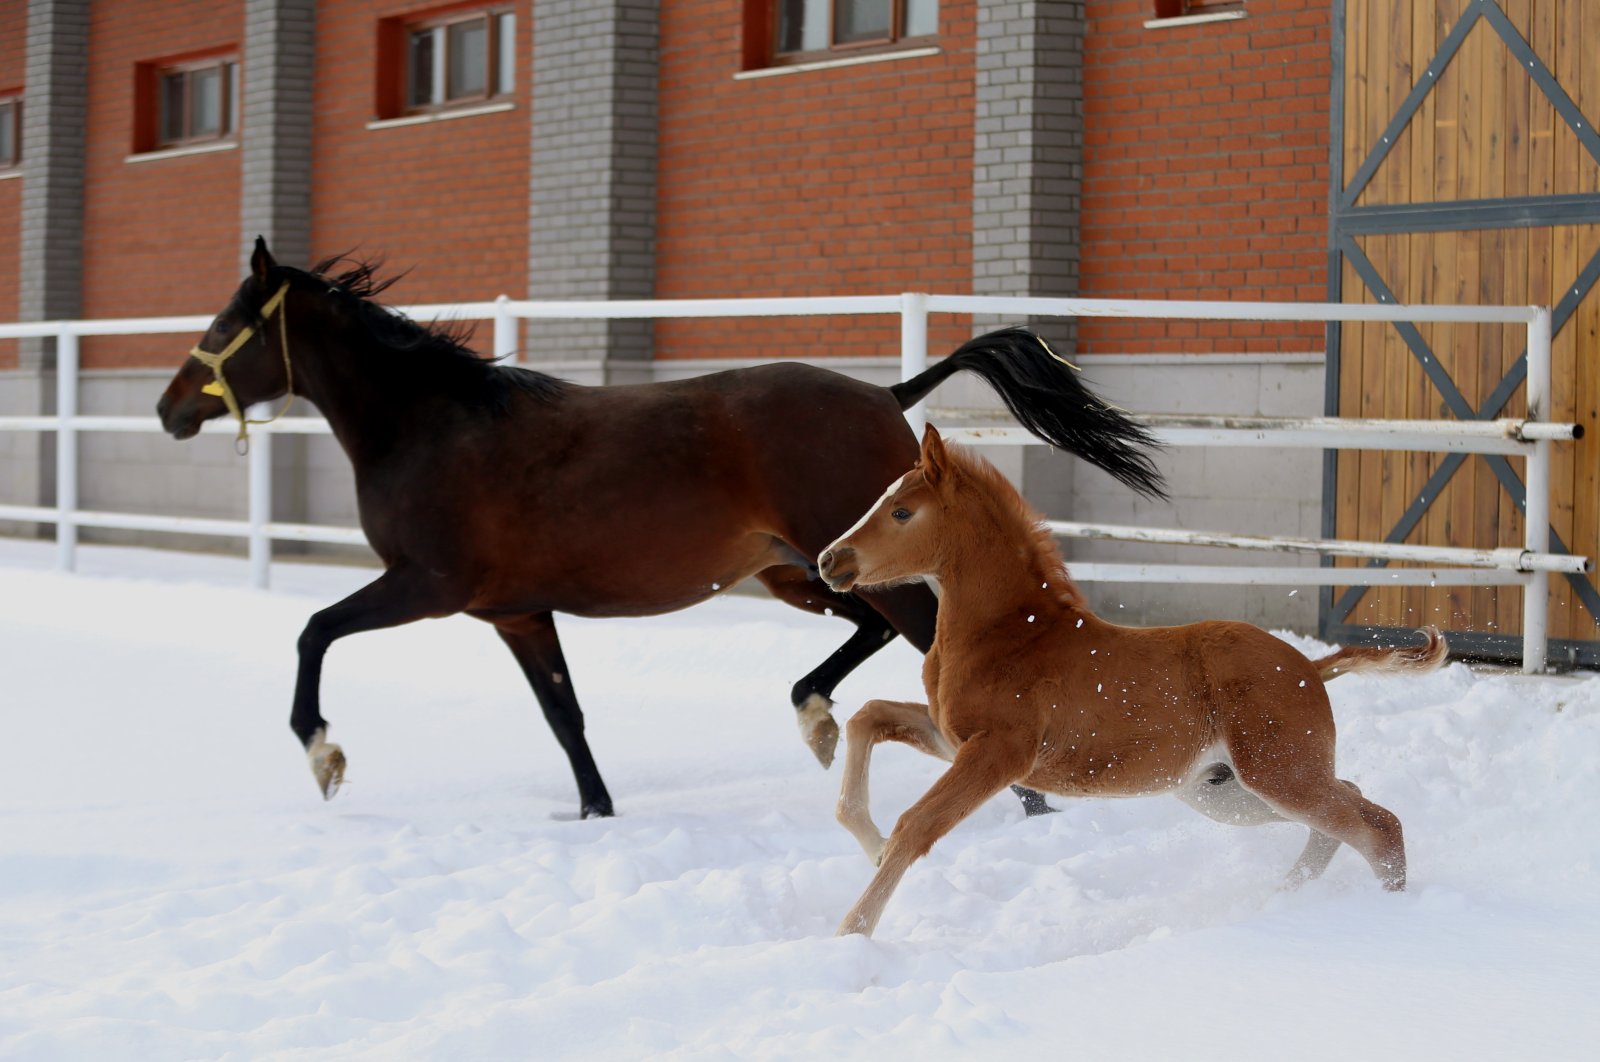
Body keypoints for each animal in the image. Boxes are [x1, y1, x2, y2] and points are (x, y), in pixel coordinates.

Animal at [159, 239, 1164, 815]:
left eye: (231, 322)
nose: (171, 409)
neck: (434, 426)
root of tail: (888, 394)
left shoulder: (427, 585)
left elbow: (313, 629)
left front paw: (323, 753)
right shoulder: (515, 612)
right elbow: (564, 715)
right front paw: (596, 813)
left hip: (862, 573)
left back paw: (1021, 800)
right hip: (807, 573)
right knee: (870, 634)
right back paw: (817, 718)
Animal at [819, 425, 1446, 940]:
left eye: (902, 513)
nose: (830, 560)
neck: (1009, 633)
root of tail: (1310, 668)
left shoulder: (1000, 753)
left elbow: (916, 825)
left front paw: (850, 931)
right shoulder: (953, 739)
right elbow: (867, 716)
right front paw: (869, 841)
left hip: (1277, 774)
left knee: (1378, 825)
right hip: (1226, 791)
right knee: (1350, 809)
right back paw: (1284, 899)